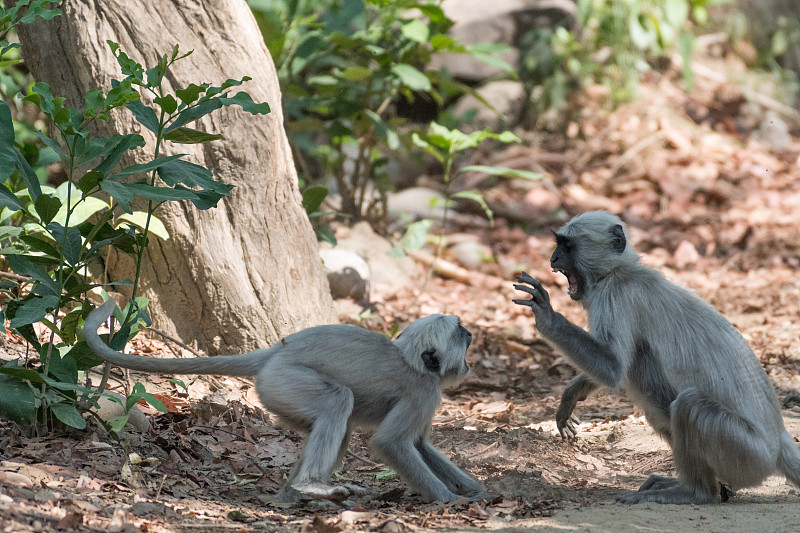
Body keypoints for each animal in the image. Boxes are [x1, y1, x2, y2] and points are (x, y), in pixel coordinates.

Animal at [86, 300, 488, 502]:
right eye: (462, 334)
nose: (472, 335)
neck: (409, 359)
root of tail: (272, 353)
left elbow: (418, 444)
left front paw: (474, 490)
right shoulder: (423, 391)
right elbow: (391, 443)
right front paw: (450, 500)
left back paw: (291, 497)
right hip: (284, 382)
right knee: (339, 401)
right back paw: (310, 486)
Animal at [512, 211, 800, 502]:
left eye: (567, 246)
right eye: (558, 245)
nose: (553, 259)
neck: (620, 271)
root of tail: (778, 441)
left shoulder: (614, 296)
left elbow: (614, 369)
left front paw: (548, 317)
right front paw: (574, 392)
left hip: (746, 454)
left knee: (686, 402)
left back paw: (694, 492)